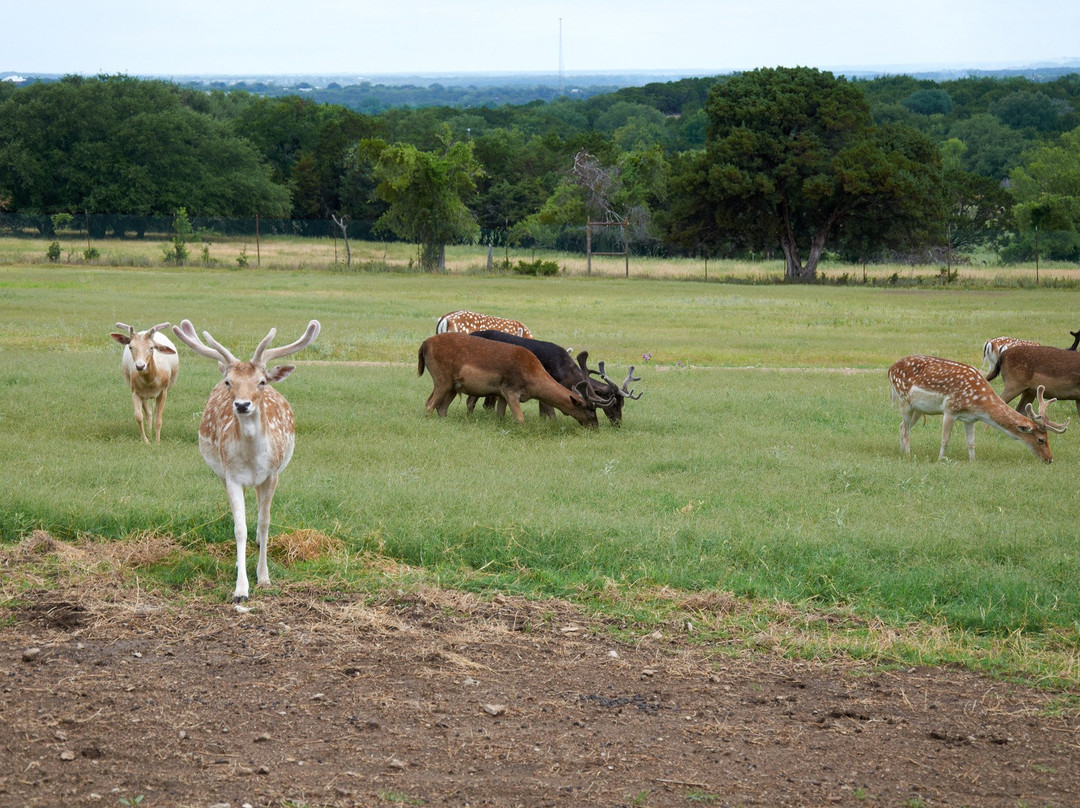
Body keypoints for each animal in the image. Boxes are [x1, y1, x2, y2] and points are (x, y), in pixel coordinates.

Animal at [171, 315, 319, 600]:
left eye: (261, 381)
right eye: (230, 381)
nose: (241, 405)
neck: (252, 459)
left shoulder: (272, 475)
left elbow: (264, 522)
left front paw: (264, 577)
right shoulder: (231, 476)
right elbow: (240, 528)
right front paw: (241, 588)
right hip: (219, 471)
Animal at [889, 356, 1067, 464]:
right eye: (1041, 440)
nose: (1050, 459)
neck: (979, 405)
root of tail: (890, 369)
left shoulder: (970, 419)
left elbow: (971, 443)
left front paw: (973, 462)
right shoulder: (950, 409)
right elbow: (945, 439)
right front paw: (939, 460)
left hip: (918, 408)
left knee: (901, 426)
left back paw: (901, 452)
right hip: (904, 400)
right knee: (906, 429)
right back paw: (907, 455)